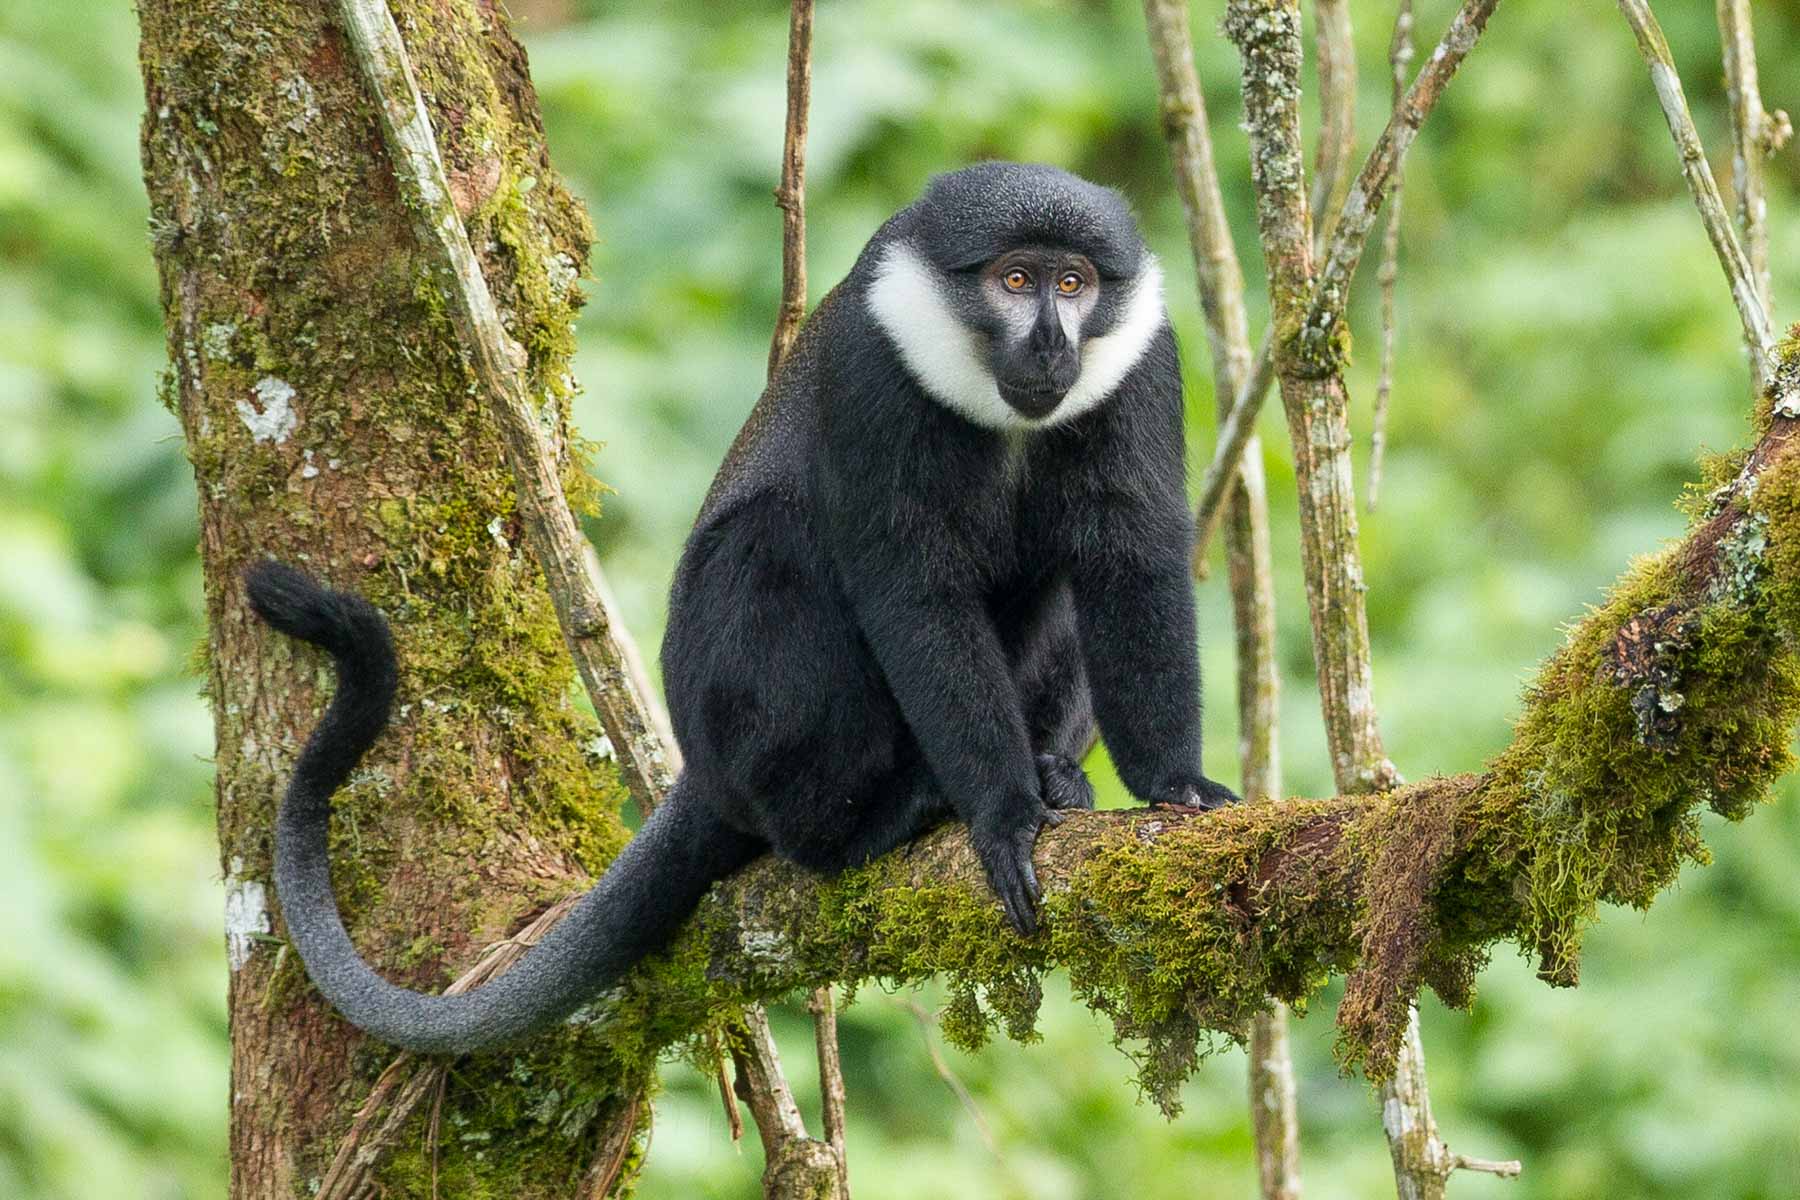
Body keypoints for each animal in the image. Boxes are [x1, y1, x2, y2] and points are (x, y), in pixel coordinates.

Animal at [247, 161, 1240, 1056]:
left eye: (1075, 284)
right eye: (1016, 280)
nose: (1051, 345)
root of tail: (704, 770)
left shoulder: (1143, 360)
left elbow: (1130, 555)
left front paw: (1175, 786)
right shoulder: (872, 368)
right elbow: (912, 586)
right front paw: (1002, 814)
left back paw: (1051, 770)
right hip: (734, 721)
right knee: (774, 539)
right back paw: (861, 824)